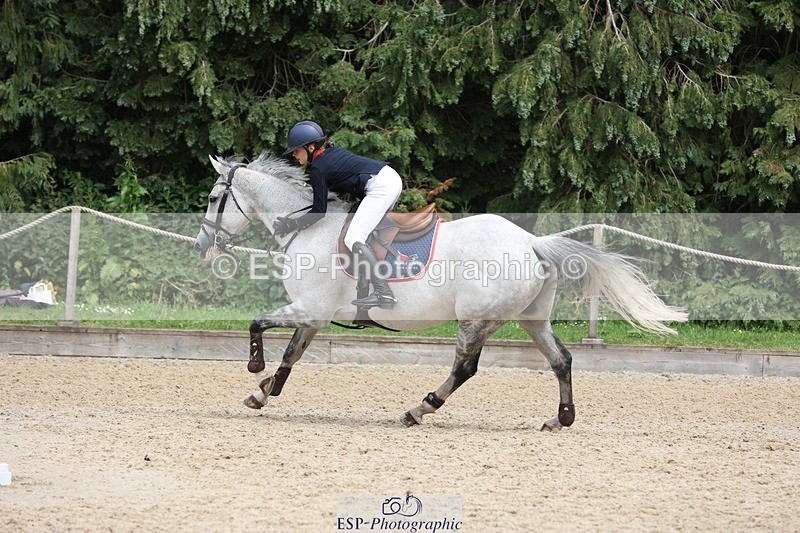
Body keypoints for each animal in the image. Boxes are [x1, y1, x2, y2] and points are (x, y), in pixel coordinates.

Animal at [194, 152, 687, 431]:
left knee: (464, 369)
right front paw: (263, 392)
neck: (307, 227)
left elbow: (259, 326)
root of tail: (531, 242)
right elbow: (291, 357)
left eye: (215, 198)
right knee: (561, 360)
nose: (202, 245)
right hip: (531, 319)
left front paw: (255, 369)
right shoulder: (313, 316)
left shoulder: (307, 308)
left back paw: (419, 409)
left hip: (476, 318)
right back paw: (560, 418)